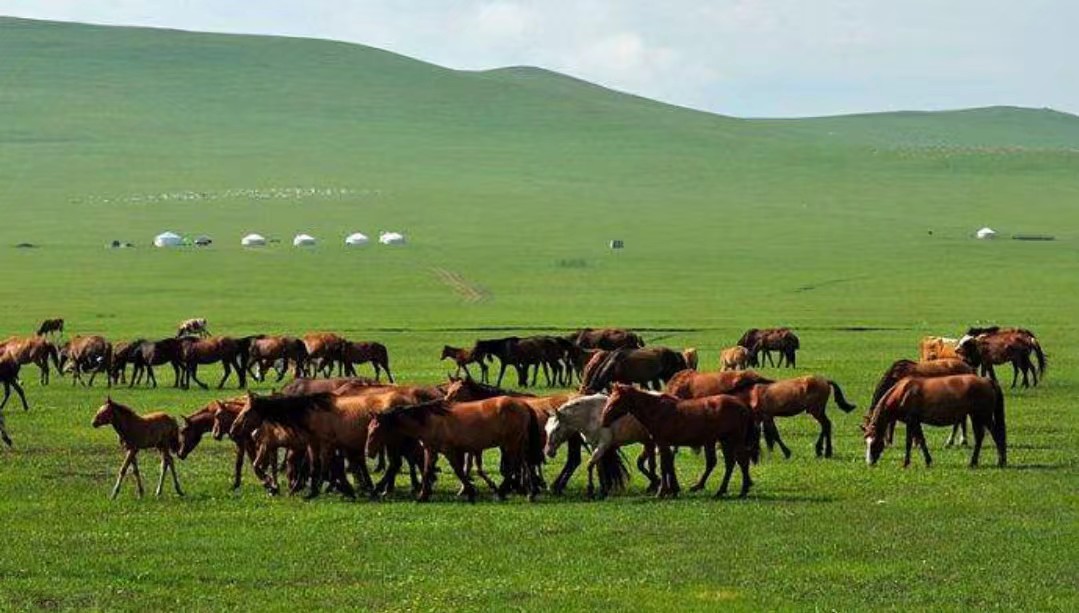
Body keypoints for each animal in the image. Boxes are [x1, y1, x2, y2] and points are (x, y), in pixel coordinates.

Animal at [366, 397, 543, 502]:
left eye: (375, 430)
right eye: (368, 429)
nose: (369, 452)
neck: (430, 420)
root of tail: (523, 405)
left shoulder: (448, 450)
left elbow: (458, 471)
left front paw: (470, 491)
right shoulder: (431, 450)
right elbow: (427, 471)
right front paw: (423, 495)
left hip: (512, 443)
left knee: (514, 466)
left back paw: (501, 492)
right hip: (519, 443)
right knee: (526, 464)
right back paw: (530, 492)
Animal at [599, 386, 759, 500]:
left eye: (616, 401)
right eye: (609, 399)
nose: (603, 420)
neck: (656, 410)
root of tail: (744, 406)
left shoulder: (662, 443)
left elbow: (663, 467)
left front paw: (661, 491)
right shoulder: (663, 444)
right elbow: (667, 465)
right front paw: (670, 490)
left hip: (734, 440)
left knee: (742, 461)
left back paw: (743, 490)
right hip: (725, 441)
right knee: (730, 463)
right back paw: (720, 490)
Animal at [863, 373, 1005, 468]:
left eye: (874, 442)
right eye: (866, 442)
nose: (869, 462)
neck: (902, 393)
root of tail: (987, 381)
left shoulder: (911, 420)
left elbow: (909, 442)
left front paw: (906, 463)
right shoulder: (916, 422)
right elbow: (921, 440)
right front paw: (928, 461)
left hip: (984, 416)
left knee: (996, 435)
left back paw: (1001, 461)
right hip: (976, 416)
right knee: (979, 438)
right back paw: (973, 462)